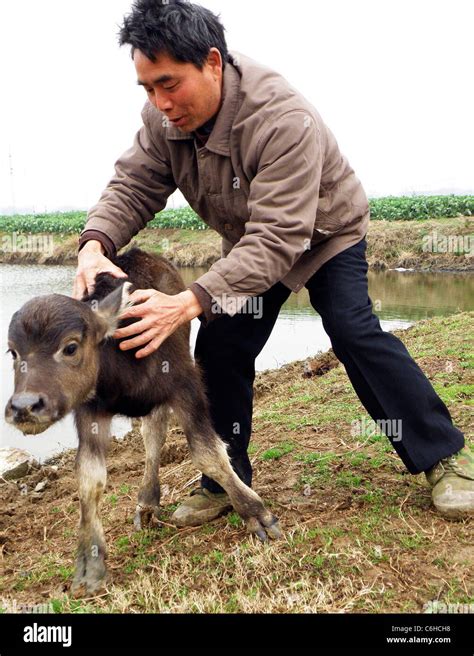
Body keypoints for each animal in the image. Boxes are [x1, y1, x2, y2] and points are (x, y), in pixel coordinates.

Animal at [4, 249, 282, 596]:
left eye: (70, 347)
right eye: (13, 352)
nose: (25, 407)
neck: (122, 363)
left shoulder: (186, 386)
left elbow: (208, 454)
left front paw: (257, 515)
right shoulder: (91, 412)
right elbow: (90, 480)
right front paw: (90, 566)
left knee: (156, 431)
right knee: (153, 434)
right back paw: (147, 503)